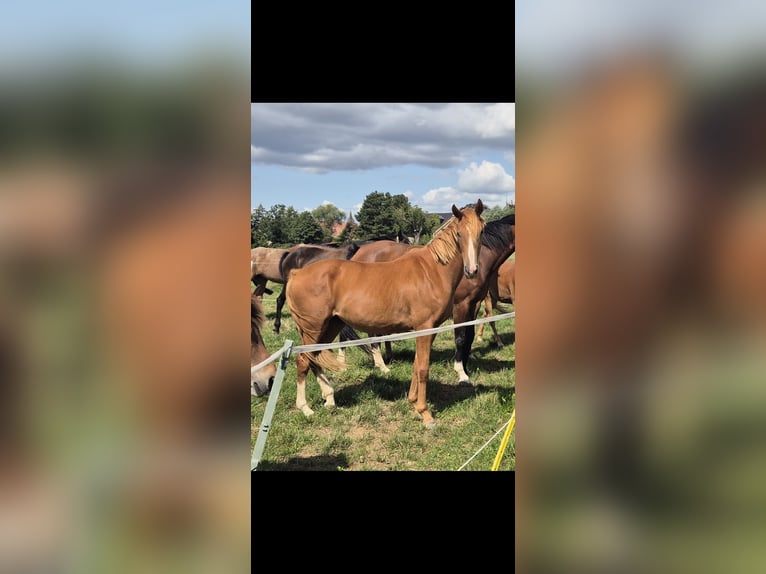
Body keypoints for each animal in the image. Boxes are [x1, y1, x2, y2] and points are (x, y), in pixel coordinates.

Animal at [284, 202, 488, 428]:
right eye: (459, 234)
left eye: (481, 231)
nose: (472, 270)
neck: (432, 271)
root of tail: (296, 273)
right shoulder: (425, 328)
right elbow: (423, 369)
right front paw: (425, 414)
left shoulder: (429, 330)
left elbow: (417, 365)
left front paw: (413, 403)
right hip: (314, 328)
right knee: (303, 360)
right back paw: (305, 408)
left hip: (331, 325)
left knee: (315, 358)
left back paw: (329, 398)